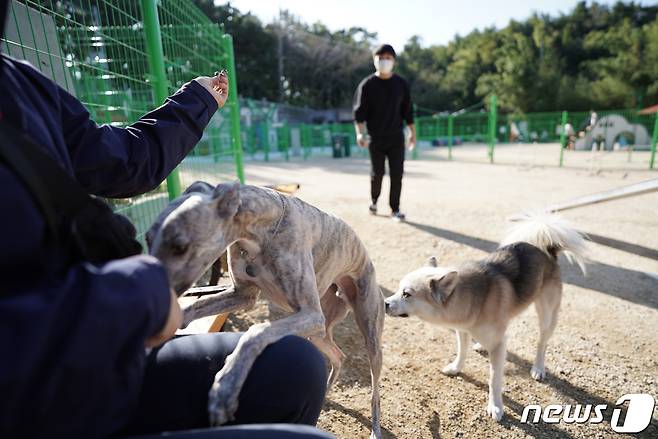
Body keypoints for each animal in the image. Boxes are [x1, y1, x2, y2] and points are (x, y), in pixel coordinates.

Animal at [382, 215, 588, 422]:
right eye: (398, 289)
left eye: (407, 294)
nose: (384, 303)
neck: (472, 298)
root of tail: (547, 251)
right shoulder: (463, 330)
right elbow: (462, 352)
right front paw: (456, 368)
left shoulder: (498, 346)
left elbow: (494, 379)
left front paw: (495, 406)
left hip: (546, 316)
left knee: (542, 343)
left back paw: (538, 368)